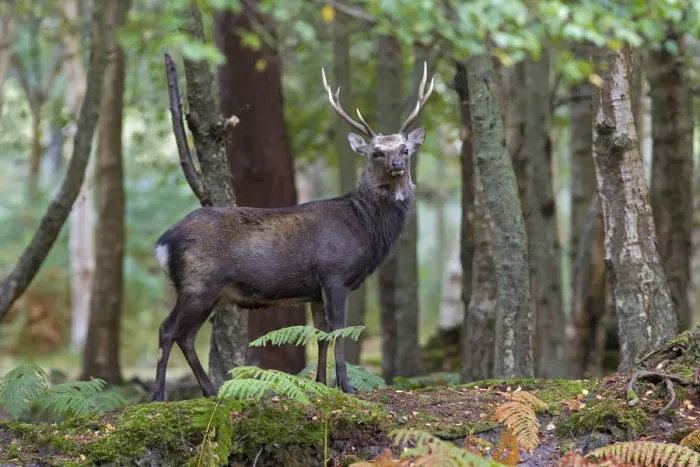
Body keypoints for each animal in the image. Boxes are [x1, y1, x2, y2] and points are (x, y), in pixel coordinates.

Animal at [149, 63, 435, 401]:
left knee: (187, 336)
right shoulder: (335, 275)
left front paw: (322, 384)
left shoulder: (314, 290)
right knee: (168, 330)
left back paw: (210, 391)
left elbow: (321, 335)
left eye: (405, 150)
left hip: (210, 292)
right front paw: (346, 385)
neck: (363, 225)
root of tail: (163, 242)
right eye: (376, 152)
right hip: (197, 282)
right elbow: (338, 332)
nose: (396, 164)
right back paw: (158, 395)